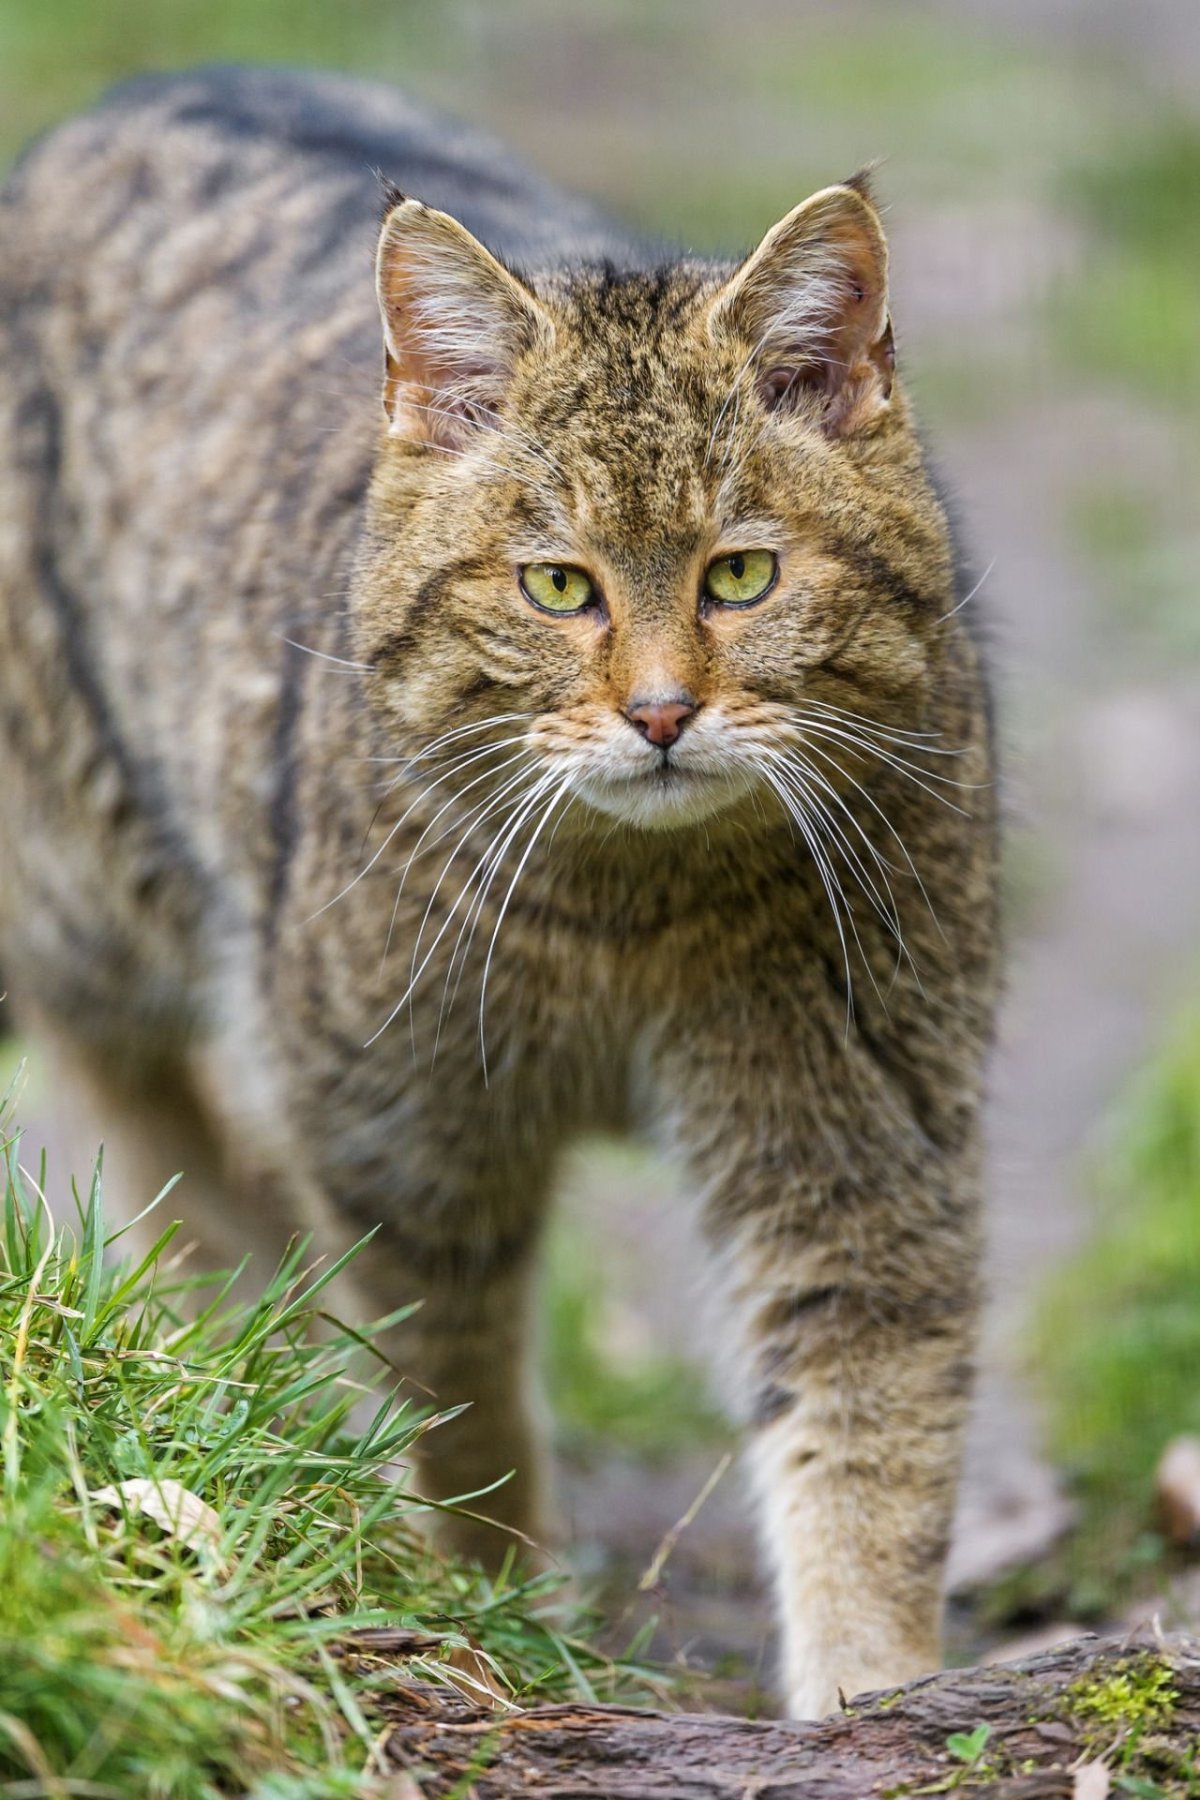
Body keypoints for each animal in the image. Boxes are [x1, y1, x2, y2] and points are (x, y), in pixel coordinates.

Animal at [0, 66, 1000, 1713]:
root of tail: (137, 95)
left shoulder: (860, 1138)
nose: (660, 713)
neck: (633, 914)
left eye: (740, 577)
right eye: (558, 586)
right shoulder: (408, 1142)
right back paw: (224, 1273)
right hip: (89, 871)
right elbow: (455, 1403)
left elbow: (871, 1445)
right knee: (113, 1071)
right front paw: (495, 1601)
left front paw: (873, 1692)